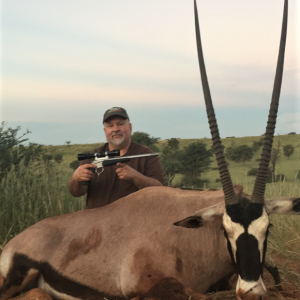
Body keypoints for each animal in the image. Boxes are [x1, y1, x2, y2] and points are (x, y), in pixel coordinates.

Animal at [1, 0, 298, 300]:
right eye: (226, 230)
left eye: (268, 227)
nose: (251, 291)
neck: (192, 236)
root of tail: (13, 242)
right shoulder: (147, 285)